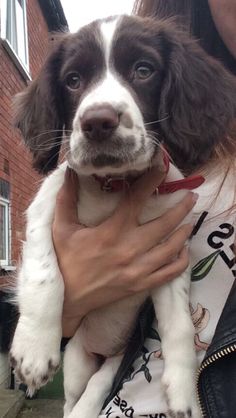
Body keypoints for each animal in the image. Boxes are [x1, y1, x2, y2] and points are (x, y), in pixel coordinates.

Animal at [9, 14, 236, 416]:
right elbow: (44, 275)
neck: (113, 187)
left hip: (114, 360)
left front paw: (183, 391)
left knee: (99, 384)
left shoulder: (169, 254)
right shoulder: (43, 208)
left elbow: (179, 324)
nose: (98, 122)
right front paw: (34, 351)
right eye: (73, 79)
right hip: (77, 361)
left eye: (143, 70)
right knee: (72, 398)